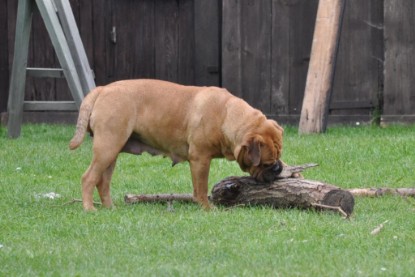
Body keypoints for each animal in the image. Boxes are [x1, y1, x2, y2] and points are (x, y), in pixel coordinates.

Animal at [70, 78, 284, 210]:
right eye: (265, 163)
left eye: (279, 157)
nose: (278, 168)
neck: (226, 116)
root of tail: (103, 89)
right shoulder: (200, 159)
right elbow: (201, 188)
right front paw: (207, 208)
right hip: (107, 147)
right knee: (88, 178)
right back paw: (89, 208)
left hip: (112, 152)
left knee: (103, 182)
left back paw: (110, 208)